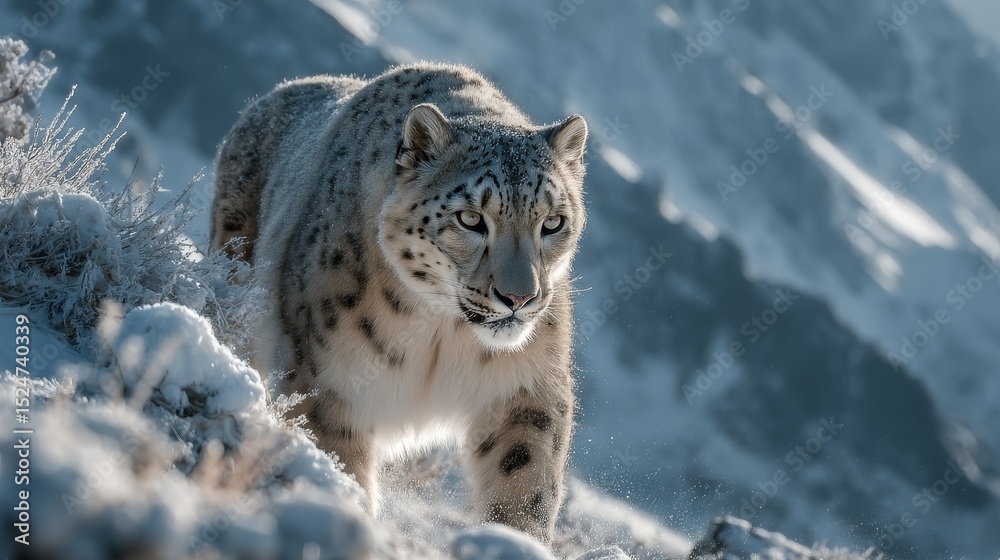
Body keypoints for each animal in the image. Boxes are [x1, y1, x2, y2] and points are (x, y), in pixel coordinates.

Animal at [210, 62, 588, 543]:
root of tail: (271, 96)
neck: (442, 335)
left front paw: (514, 540)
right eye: (470, 218)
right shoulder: (327, 380)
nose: (519, 297)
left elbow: (525, 479)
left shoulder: (527, 386)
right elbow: (337, 459)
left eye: (553, 222)